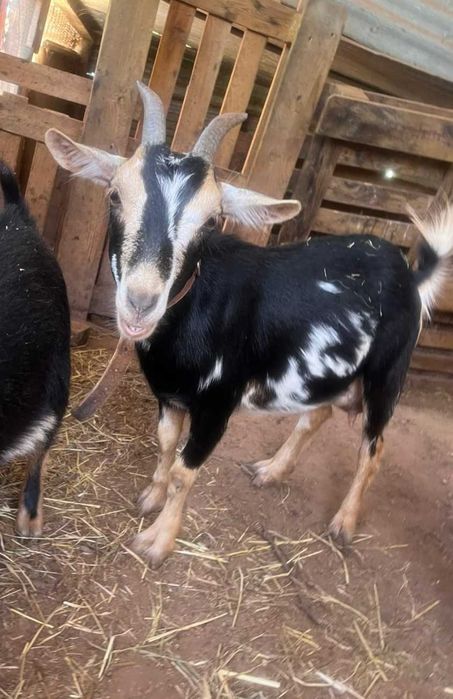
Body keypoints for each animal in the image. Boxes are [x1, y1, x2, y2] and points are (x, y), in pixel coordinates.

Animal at [45, 83, 453, 567]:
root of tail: (408, 273)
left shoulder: (218, 402)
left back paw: (344, 523)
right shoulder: (170, 395)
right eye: (114, 195)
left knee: (374, 446)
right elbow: (165, 443)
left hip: (387, 374)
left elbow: (185, 470)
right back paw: (272, 471)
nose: (140, 303)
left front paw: (157, 542)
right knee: (316, 414)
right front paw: (150, 497)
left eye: (212, 220)